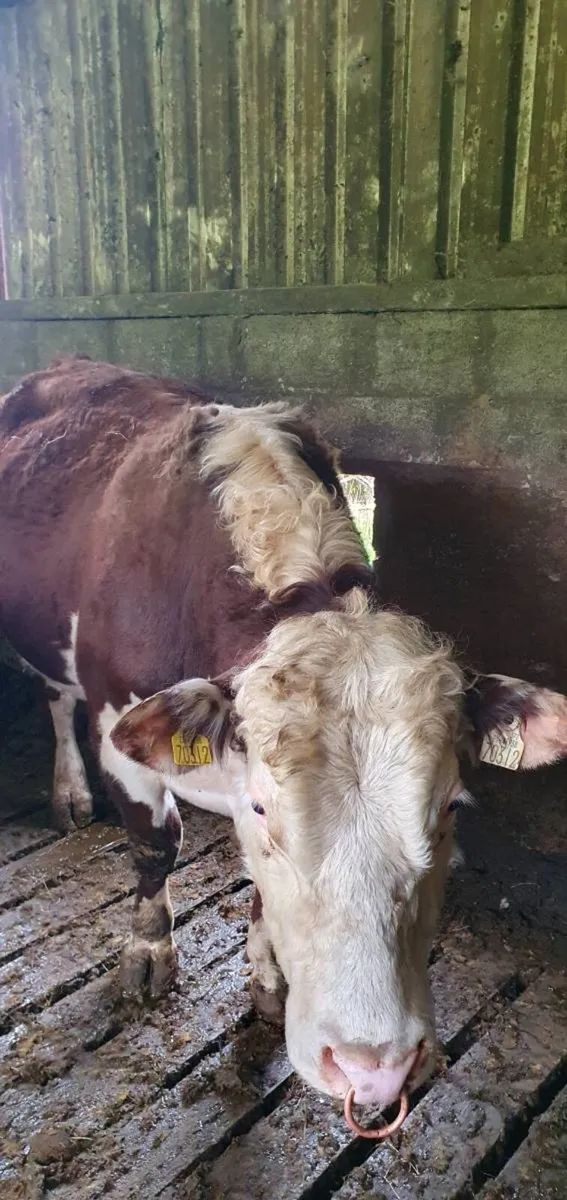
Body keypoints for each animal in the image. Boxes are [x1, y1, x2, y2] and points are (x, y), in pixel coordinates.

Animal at [1, 355, 567, 1117]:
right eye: (266, 807)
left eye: (450, 806)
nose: (372, 1069)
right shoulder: (124, 730)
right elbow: (154, 846)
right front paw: (149, 953)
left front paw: (268, 977)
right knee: (57, 698)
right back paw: (69, 790)